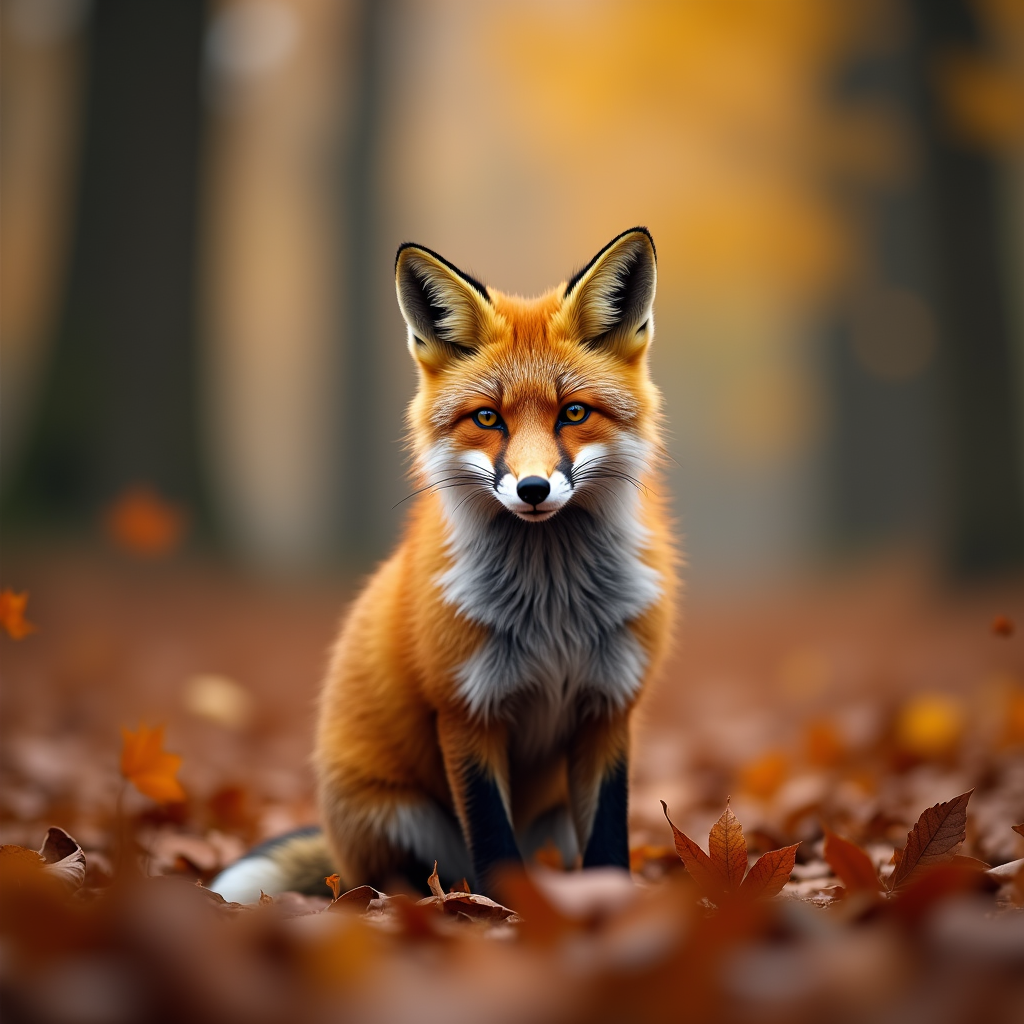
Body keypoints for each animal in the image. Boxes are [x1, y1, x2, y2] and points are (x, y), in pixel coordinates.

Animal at [210, 227, 677, 902]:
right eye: (488, 418)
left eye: (573, 412)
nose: (533, 489)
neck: (553, 611)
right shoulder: (465, 709)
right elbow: (494, 842)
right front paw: (511, 911)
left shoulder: (608, 707)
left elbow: (610, 840)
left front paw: (609, 900)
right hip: (401, 820)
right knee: (396, 884)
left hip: (552, 819)